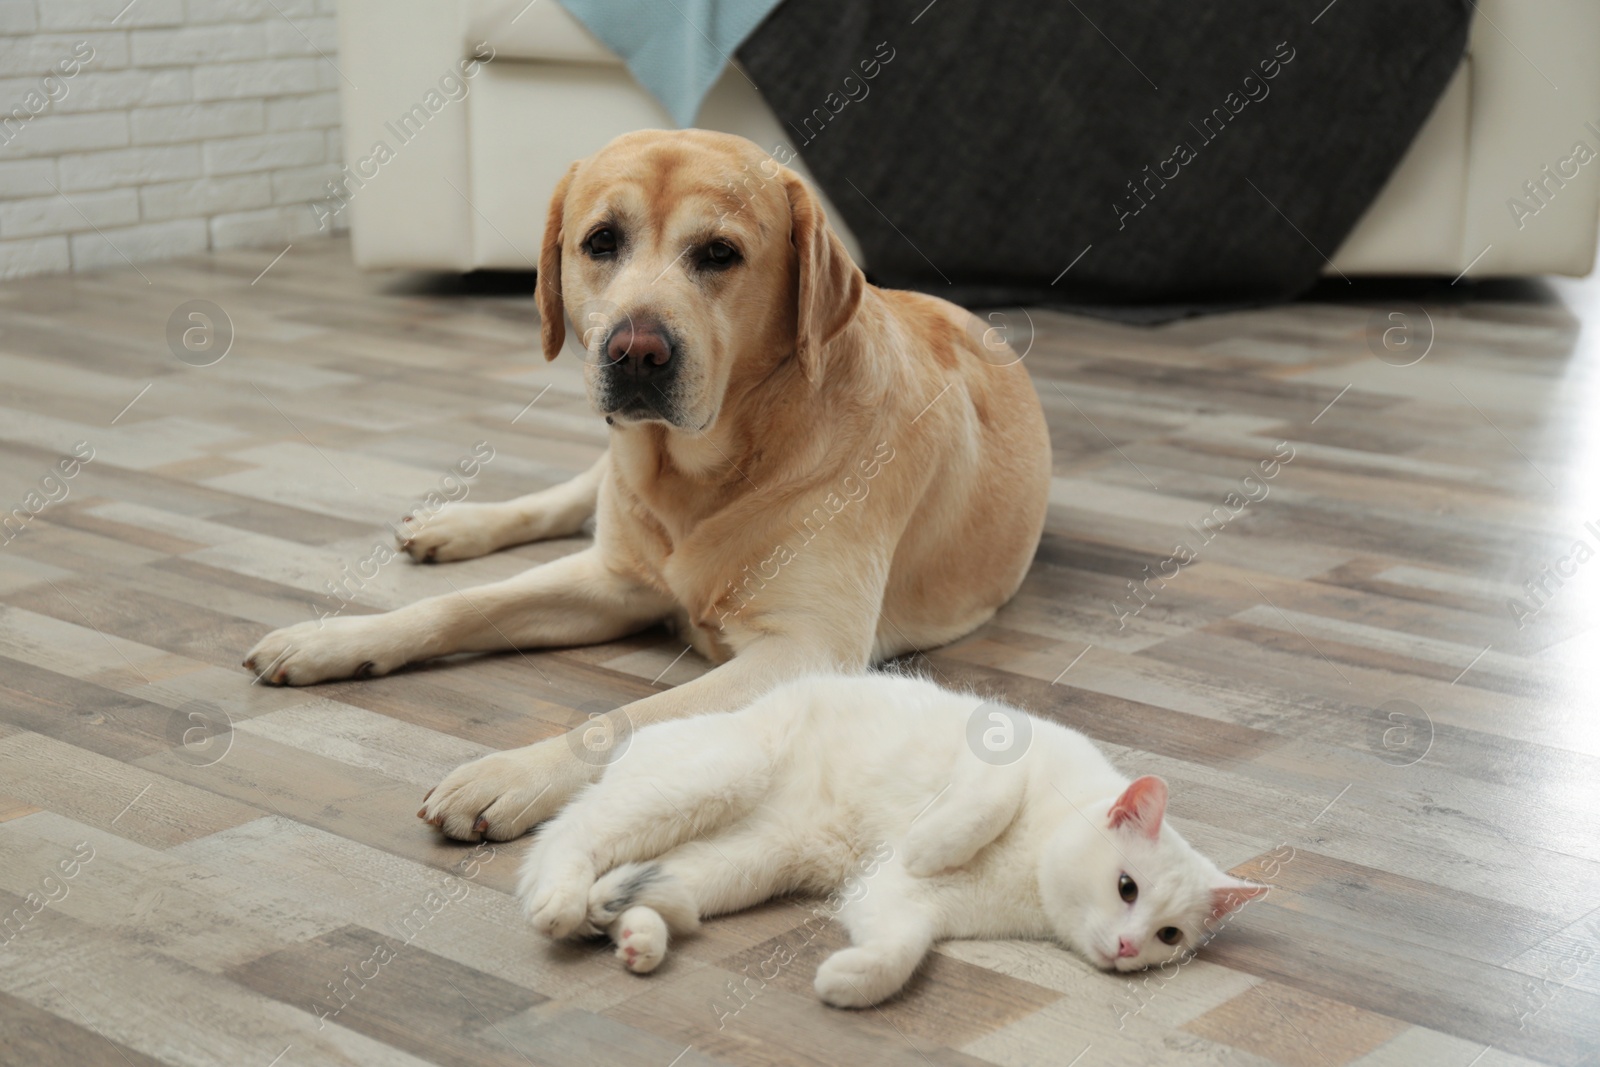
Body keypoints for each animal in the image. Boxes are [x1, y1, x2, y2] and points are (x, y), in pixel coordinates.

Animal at [243, 127, 1049, 844]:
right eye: (601, 242)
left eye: (720, 254)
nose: (635, 350)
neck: (708, 471)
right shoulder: (617, 582)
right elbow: (464, 604)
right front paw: (336, 639)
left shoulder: (805, 650)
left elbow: (634, 716)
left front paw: (512, 773)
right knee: (568, 498)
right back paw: (453, 526)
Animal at [518, 671, 1267, 1004]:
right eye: (1126, 887)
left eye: (1169, 936)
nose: (1129, 947)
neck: (1033, 873)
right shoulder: (1006, 749)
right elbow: (987, 801)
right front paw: (930, 844)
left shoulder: (900, 902)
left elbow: (899, 951)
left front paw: (850, 981)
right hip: (724, 773)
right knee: (572, 832)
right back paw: (561, 899)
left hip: (746, 861)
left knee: (654, 875)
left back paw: (632, 928)